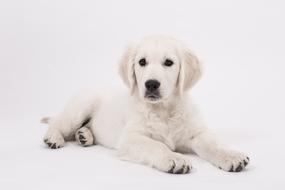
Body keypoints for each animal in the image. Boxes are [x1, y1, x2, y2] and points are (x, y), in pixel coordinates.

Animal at [42, 35, 248, 174]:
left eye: (168, 62)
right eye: (142, 62)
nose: (151, 84)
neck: (164, 110)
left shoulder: (196, 134)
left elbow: (214, 145)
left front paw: (232, 156)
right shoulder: (130, 138)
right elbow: (156, 145)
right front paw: (173, 158)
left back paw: (84, 135)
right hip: (80, 107)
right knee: (58, 123)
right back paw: (54, 138)